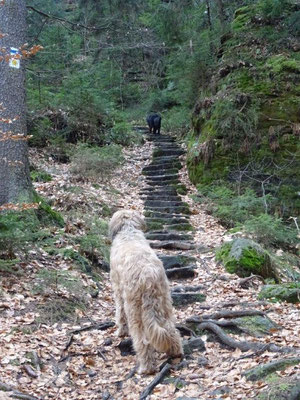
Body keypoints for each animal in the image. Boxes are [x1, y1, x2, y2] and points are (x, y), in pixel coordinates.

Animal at [108, 209, 183, 376]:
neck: (128, 232)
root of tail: (148, 276)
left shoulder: (118, 290)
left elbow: (120, 314)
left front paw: (120, 331)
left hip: (135, 310)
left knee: (142, 341)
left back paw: (146, 368)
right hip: (164, 302)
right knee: (170, 329)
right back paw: (175, 351)